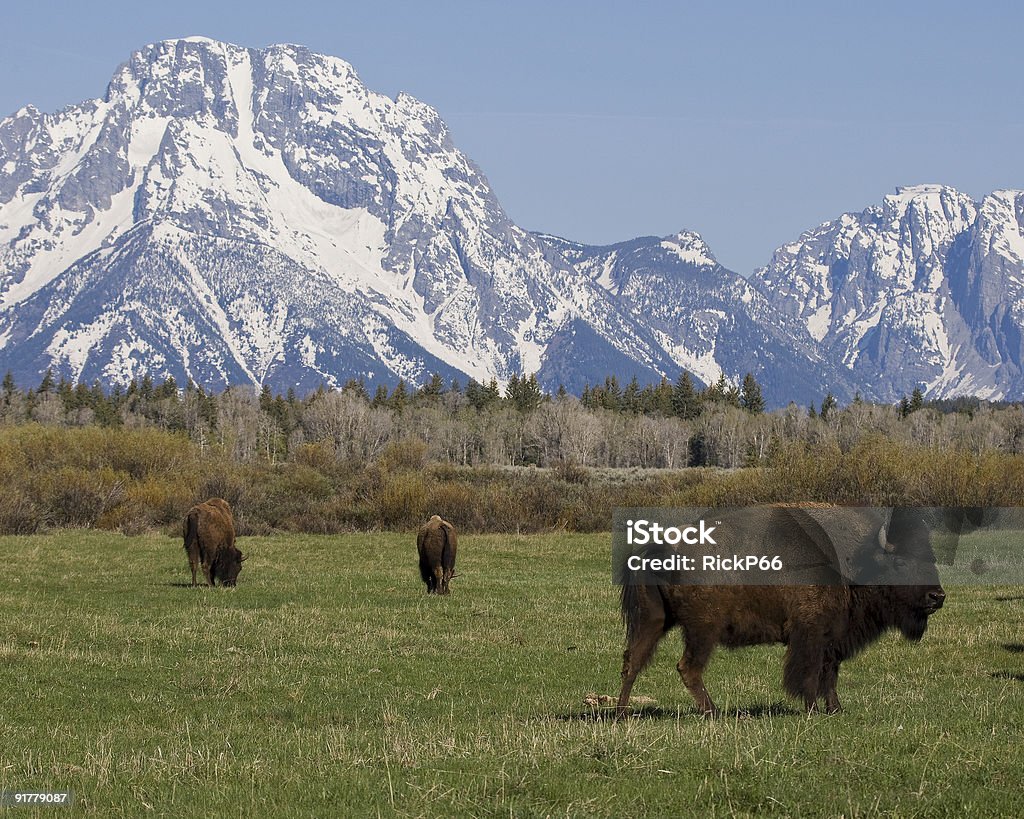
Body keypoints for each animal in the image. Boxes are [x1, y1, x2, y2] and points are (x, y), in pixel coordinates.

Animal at [614, 505, 966, 716]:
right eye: (901, 563)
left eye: (931, 559)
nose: (937, 596)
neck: (851, 561)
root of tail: (662, 547)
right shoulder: (809, 633)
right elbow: (808, 673)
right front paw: (812, 710)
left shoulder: (831, 637)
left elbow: (830, 673)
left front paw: (835, 709)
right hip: (703, 629)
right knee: (688, 667)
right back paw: (714, 712)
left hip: (654, 621)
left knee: (632, 661)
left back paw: (621, 713)